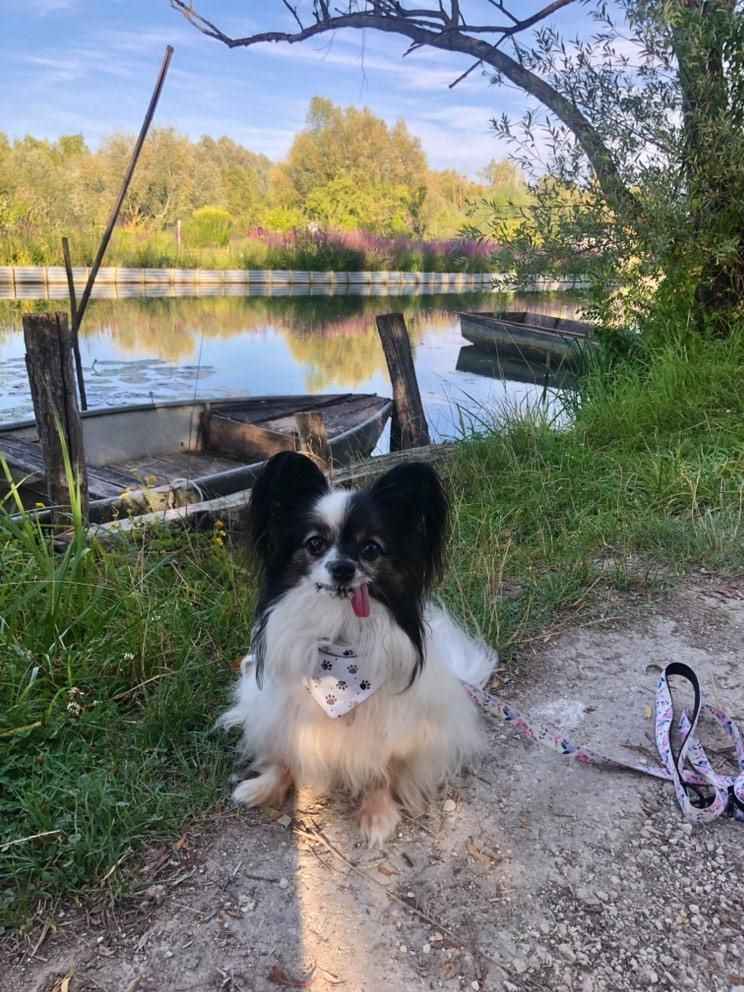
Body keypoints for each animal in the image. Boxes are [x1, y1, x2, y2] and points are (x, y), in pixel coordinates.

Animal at [224, 450, 496, 844]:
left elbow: (380, 769)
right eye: (315, 544)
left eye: (371, 548)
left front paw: (378, 815)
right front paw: (266, 787)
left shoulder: (390, 725)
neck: (340, 645)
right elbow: (285, 754)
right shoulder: (285, 708)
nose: (342, 568)